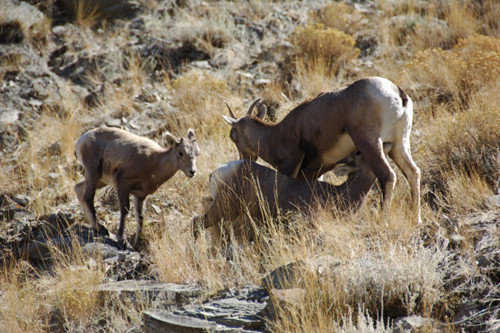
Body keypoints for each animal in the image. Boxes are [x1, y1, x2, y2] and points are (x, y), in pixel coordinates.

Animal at [225, 76, 420, 223]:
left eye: (232, 135)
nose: (244, 159)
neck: (277, 133)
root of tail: (397, 92)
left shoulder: (289, 167)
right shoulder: (314, 173)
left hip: (370, 144)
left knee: (388, 176)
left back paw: (383, 221)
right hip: (399, 145)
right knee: (413, 172)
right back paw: (416, 220)